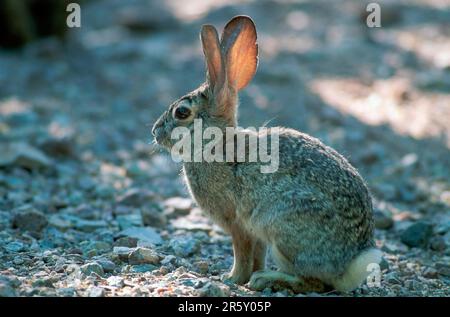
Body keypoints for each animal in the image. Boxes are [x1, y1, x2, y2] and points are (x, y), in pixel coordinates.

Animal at [152, 14, 384, 292]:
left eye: (182, 112)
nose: (155, 132)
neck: (216, 143)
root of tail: (348, 266)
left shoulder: (237, 222)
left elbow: (241, 253)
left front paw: (231, 279)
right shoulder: (255, 232)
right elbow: (256, 255)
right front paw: (244, 275)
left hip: (283, 229)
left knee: (313, 283)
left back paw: (267, 279)